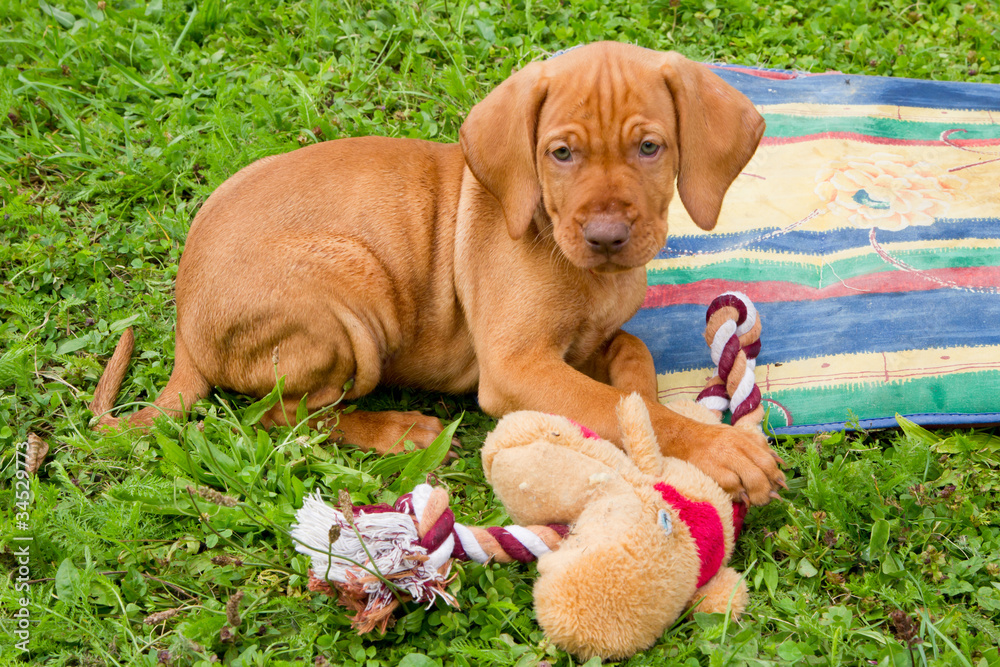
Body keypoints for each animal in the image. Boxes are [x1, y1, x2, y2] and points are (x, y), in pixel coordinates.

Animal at [90, 40, 784, 500]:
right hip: (353, 293)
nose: (607, 238)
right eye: (560, 153)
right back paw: (398, 431)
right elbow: (607, 404)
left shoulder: (586, 340)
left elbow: (631, 365)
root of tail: (184, 316)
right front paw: (715, 448)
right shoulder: (514, 366)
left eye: (649, 147)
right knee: (280, 417)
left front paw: (648, 412)